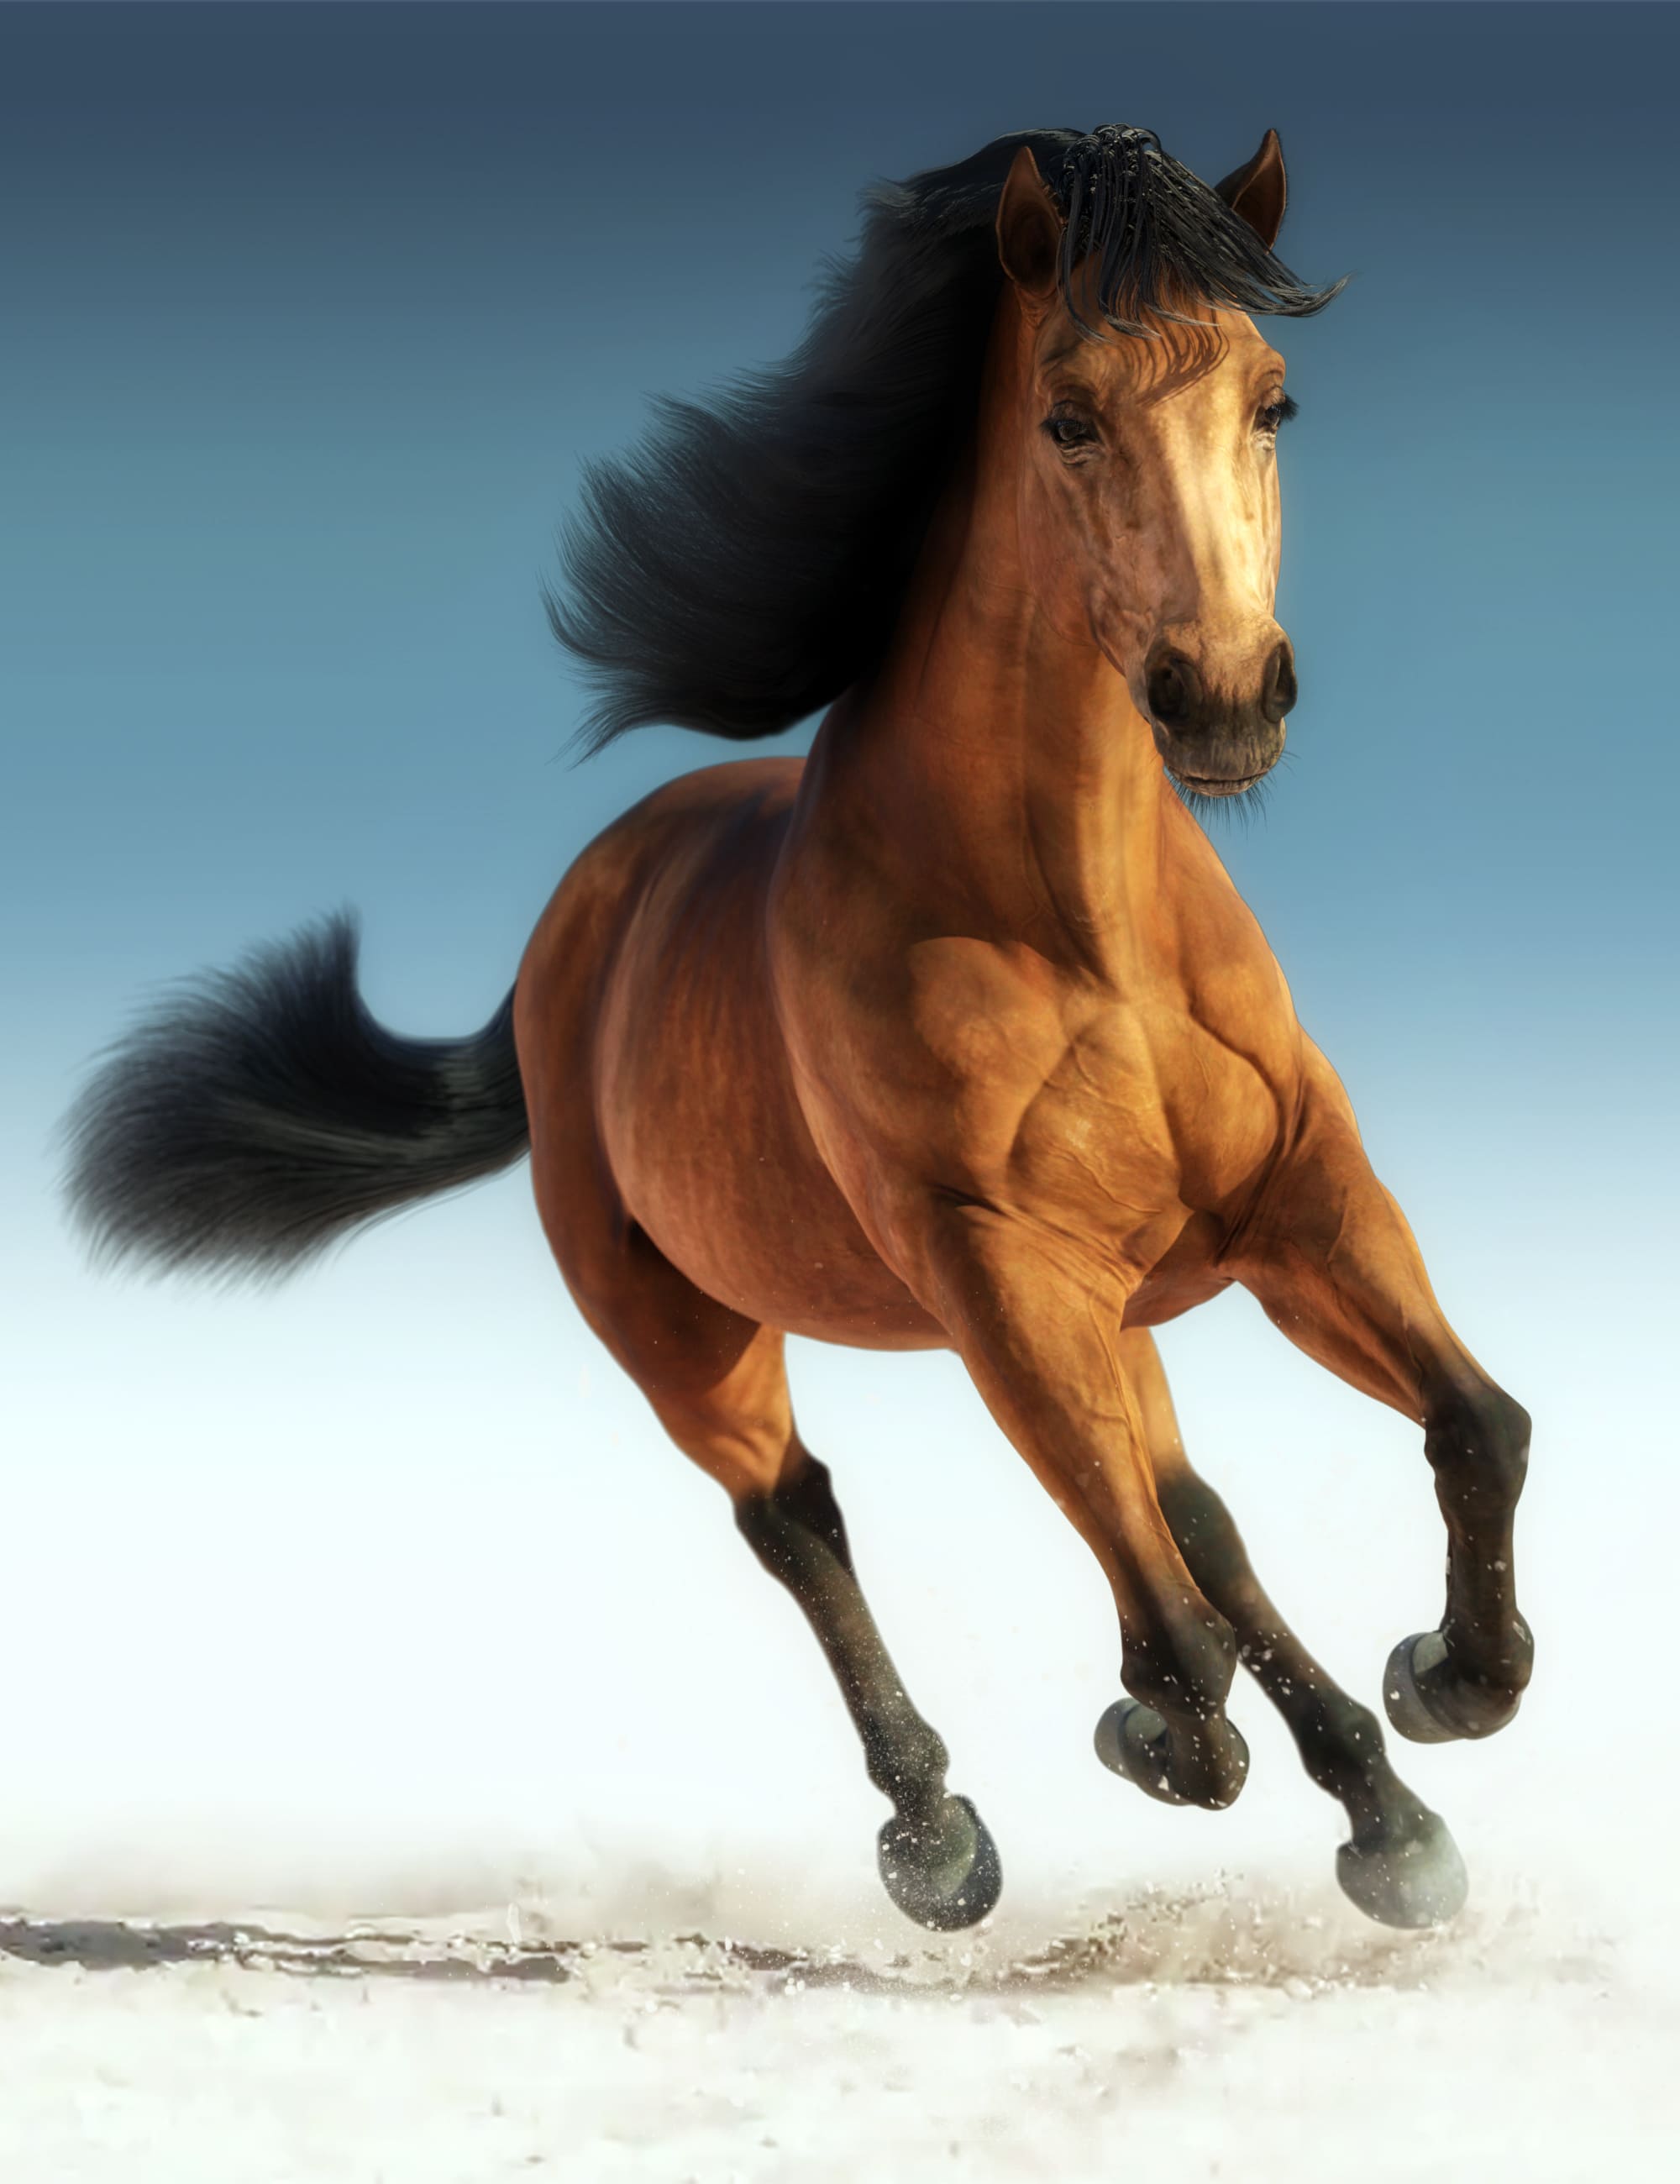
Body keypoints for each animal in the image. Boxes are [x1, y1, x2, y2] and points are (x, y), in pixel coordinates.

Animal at [64, 123, 1532, 1934]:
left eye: (1273, 400)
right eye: (1067, 415)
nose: (1224, 697)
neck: (1084, 927)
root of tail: (569, 936)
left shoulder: (1300, 1201)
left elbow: (1472, 1428)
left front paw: (1444, 1685)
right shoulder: (991, 1269)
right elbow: (1174, 1640)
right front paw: (1159, 1738)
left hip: (1111, 1307)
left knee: (1192, 1514)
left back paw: (1384, 1815)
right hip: (693, 1333)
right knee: (804, 1518)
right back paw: (938, 1838)